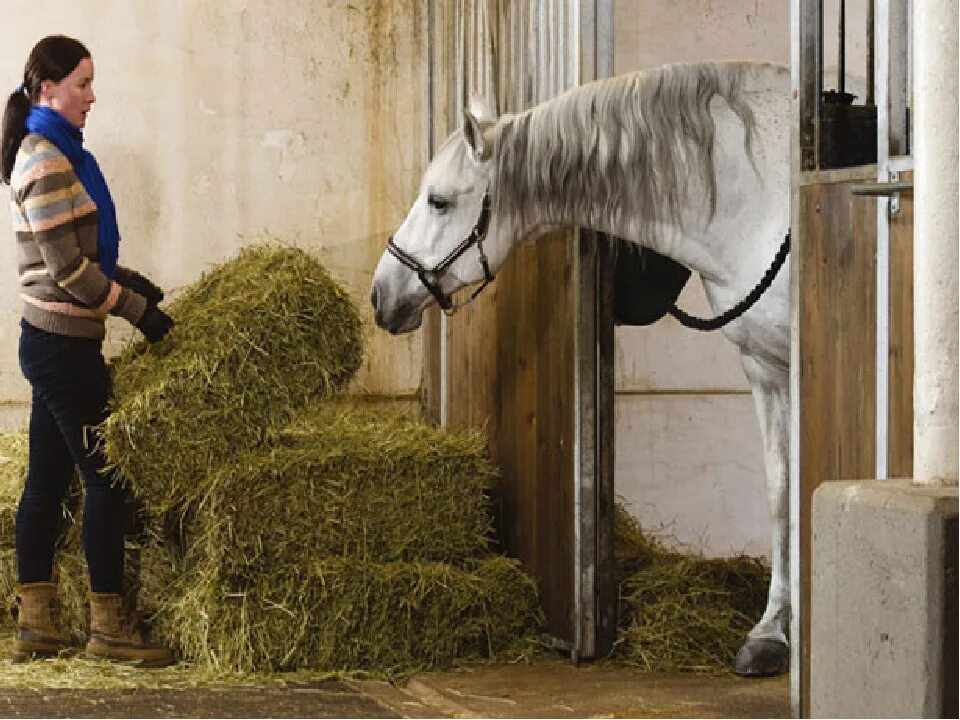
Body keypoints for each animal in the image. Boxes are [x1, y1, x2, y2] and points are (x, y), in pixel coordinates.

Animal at [368, 60, 788, 676]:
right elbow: (782, 495)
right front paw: (772, 634)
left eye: (439, 201)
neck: (762, 205)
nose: (381, 295)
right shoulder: (766, 369)